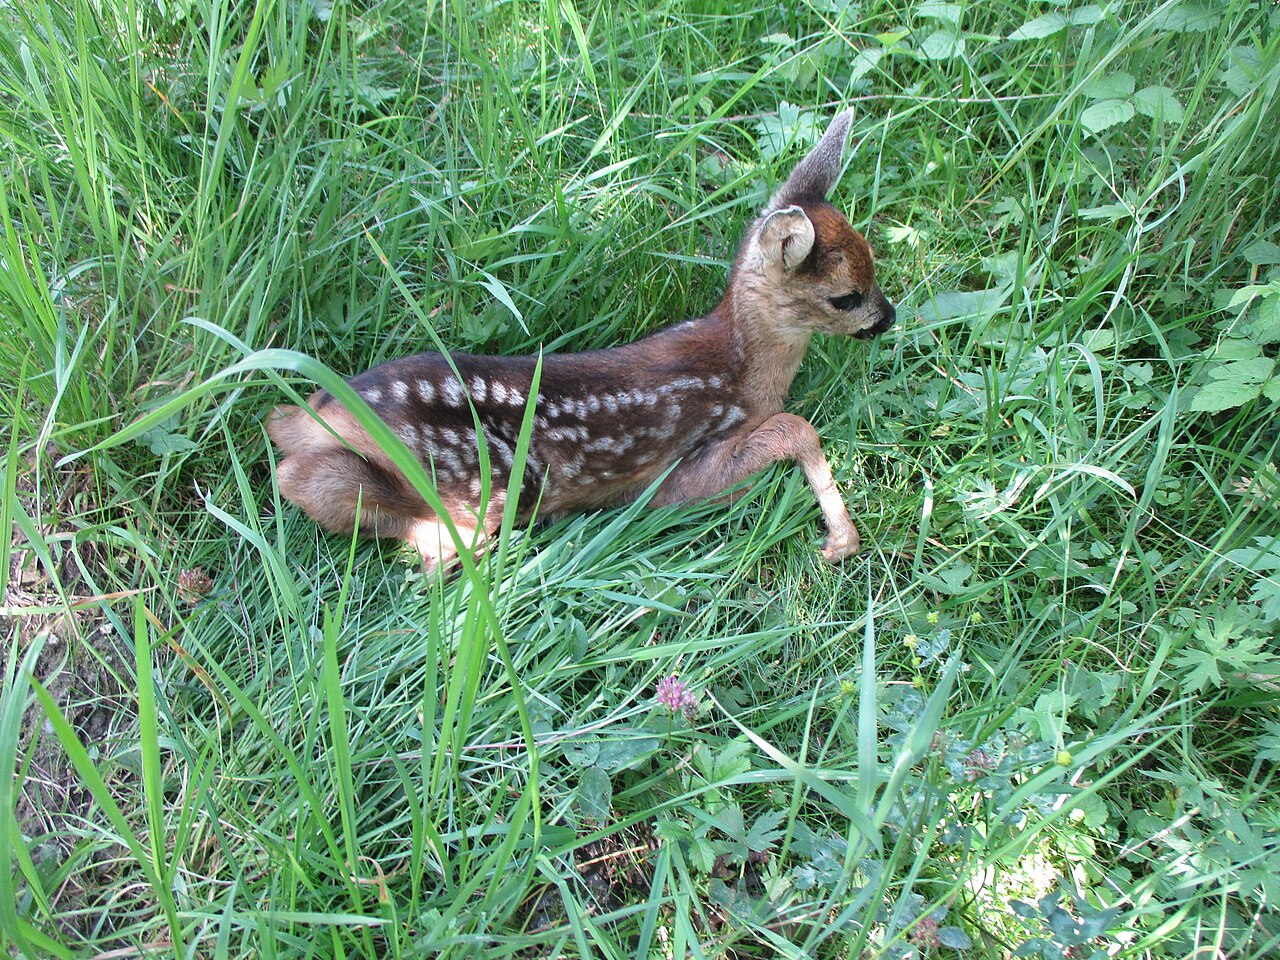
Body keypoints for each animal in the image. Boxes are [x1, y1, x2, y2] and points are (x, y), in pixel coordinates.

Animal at [267, 109, 896, 572]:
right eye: (846, 297)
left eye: (875, 266)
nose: (888, 317)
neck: (743, 366)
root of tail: (324, 413)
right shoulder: (677, 475)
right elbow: (795, 428)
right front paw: (841, 539)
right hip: (475, 481)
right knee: (298, 478)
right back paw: (442, 546)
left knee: (280, 429)